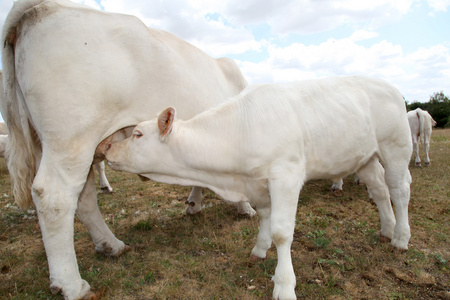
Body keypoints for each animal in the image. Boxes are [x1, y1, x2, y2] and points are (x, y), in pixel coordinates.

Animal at [0, 1, 253, 298]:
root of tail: (41, 6)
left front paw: (194, 203)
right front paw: (244, 207)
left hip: (50, 143)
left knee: (83, 198)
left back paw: (112, 245)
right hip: (71, 139)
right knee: (54, 198)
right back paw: (72, 284)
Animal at [106, 75, 414, 300]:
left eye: (137, 134)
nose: (107, 146)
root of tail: (390, 86)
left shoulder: (286, 176)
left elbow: (282, 232)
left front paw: (284, 285)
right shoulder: (256, 183)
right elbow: (265, 217)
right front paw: (259, 249)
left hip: (396, 148)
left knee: (399, 191)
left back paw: (400, 238)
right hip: (366, 157)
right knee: (379, 190)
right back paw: (387, 229)